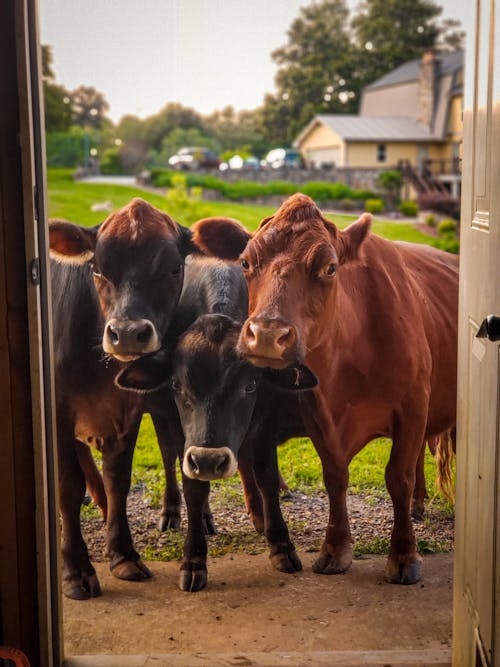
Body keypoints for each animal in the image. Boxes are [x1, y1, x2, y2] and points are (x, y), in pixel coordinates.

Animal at [115, 254, 316, 588]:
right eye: (176, 385)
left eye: (251, 386)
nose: (209, 461)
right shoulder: (181, 431)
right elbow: (193, 487)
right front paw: (194, 559)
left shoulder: (265, 420)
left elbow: (266, 476)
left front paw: (280, 545)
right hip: (162, 419)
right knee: (169, 456)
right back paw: (172, 511)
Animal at [191, 194, 458, 584]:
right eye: (245, 262)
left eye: (331, 268)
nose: (267, 335)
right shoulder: (318, 411)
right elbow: (335, 476)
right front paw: (334, 549)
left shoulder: (413, 406)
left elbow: (399, 476)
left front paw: (404, 555)